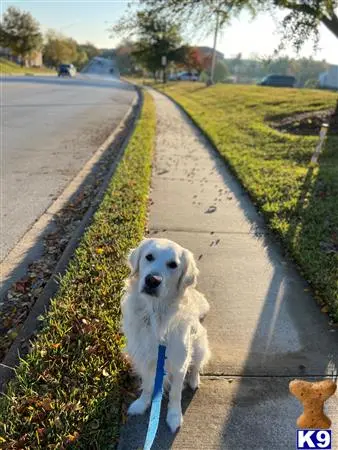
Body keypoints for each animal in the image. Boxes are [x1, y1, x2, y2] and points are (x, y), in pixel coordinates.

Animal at [120, 239, 210, 432]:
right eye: (149, 257)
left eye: (173, 265)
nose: (152, 280)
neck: (157, 315)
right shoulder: (145, 359)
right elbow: (147, 386)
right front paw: (142, 404)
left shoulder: (179, 363)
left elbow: (176, 393)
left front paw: (174, 416)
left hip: (200, 345)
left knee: (196, 366)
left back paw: (194, 380)